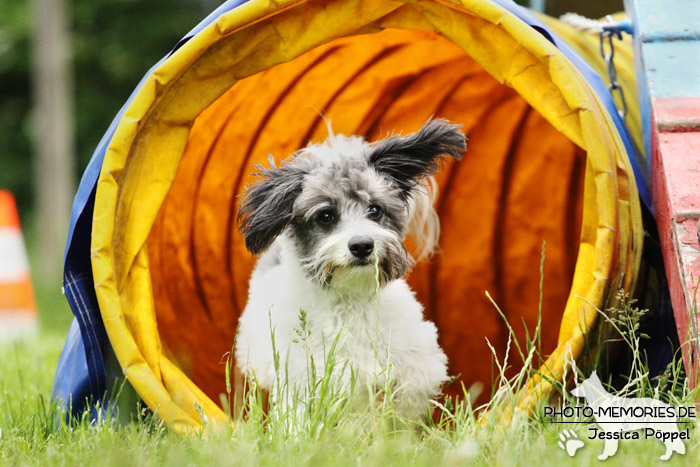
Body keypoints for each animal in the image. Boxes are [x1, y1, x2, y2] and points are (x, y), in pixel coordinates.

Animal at [235, 118, 464, 420]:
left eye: (375, 210)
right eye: (326, 216)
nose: (362, 245)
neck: (351, 300)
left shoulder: (421, 354)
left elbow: (412, 387)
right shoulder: (305, 376)